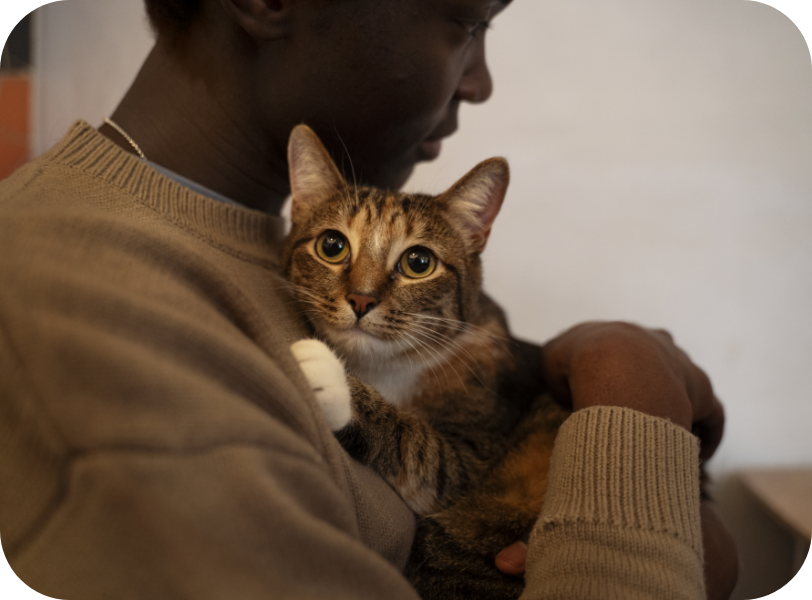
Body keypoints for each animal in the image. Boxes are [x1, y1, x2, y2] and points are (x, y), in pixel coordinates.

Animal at [284, 124, 572, 596]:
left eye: (419, 262)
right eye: (332, 245)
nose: (361, 299)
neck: (387, 370)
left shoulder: (475, 460)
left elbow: (417, 444)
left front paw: (329, 377)